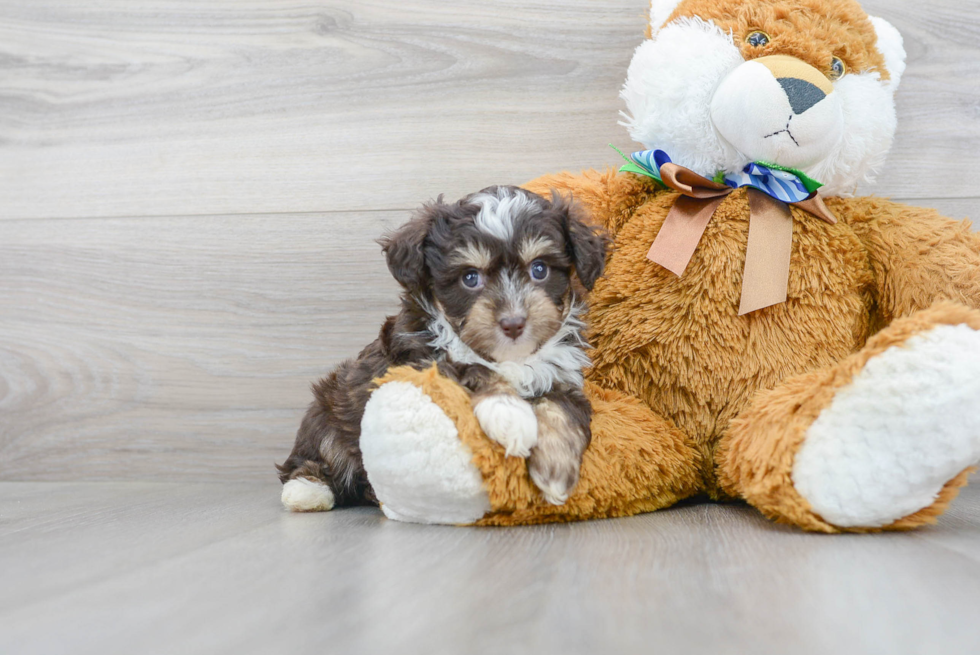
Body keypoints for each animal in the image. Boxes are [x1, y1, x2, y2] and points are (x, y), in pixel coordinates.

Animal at [276, 184, 608, 512]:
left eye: (539, 270)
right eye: (470, 277)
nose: (513, 323)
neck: (508, 357)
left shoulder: (563, 375)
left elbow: (562, 409)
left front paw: (556, 472)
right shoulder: (415, 359)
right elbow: (466, 367)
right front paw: (510, 413)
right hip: (327, 411)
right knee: (318, 456)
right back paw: (307, 490)